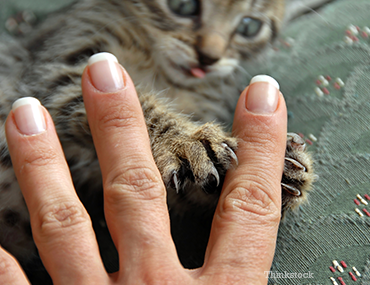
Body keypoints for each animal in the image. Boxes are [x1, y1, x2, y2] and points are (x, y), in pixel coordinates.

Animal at [0, 0, 314, 272]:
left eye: (249, 27)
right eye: (183, 5)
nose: (208, 58)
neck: (162, 71)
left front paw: (283, 171)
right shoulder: (59, 70)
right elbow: (138, 106)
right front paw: (186, 140)